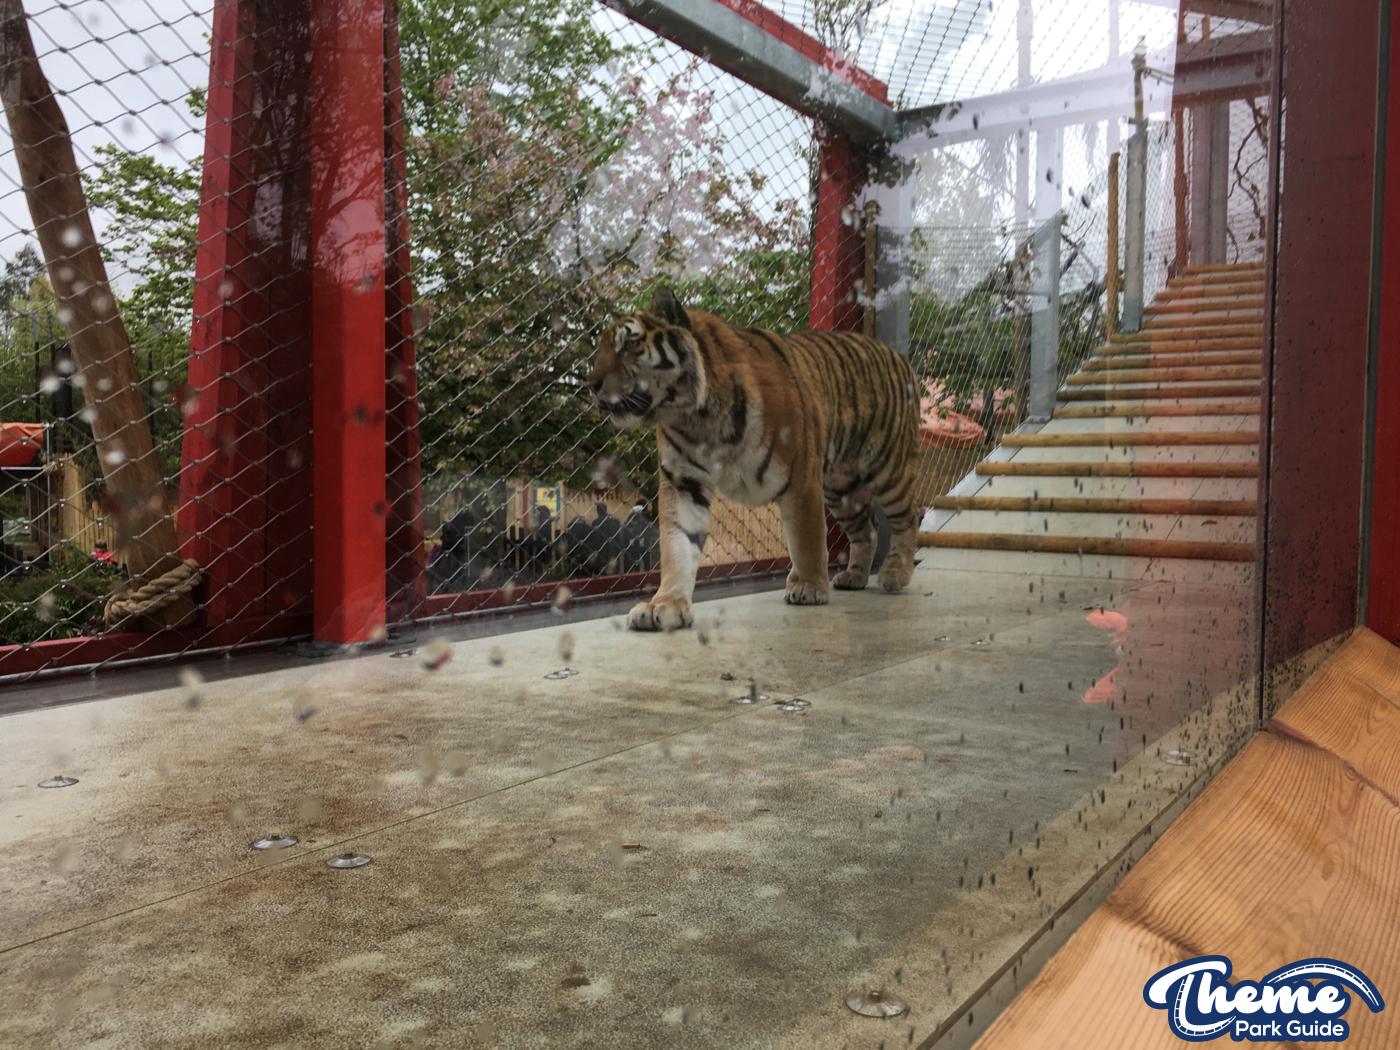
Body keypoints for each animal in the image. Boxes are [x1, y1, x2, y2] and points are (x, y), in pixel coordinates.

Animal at [587, 285, 922, 632]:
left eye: (630, 344)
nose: (591, 384)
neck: (694, 416)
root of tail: (897, 355)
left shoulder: (802, 478)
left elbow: (808, 539)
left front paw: (809, 586)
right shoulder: (683, 482)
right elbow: (677, 545)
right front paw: (665, 604)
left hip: (889, 468)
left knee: (908, 518)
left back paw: (895, 573)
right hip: (840, 489)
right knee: (867, 528)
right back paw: (854, 576)